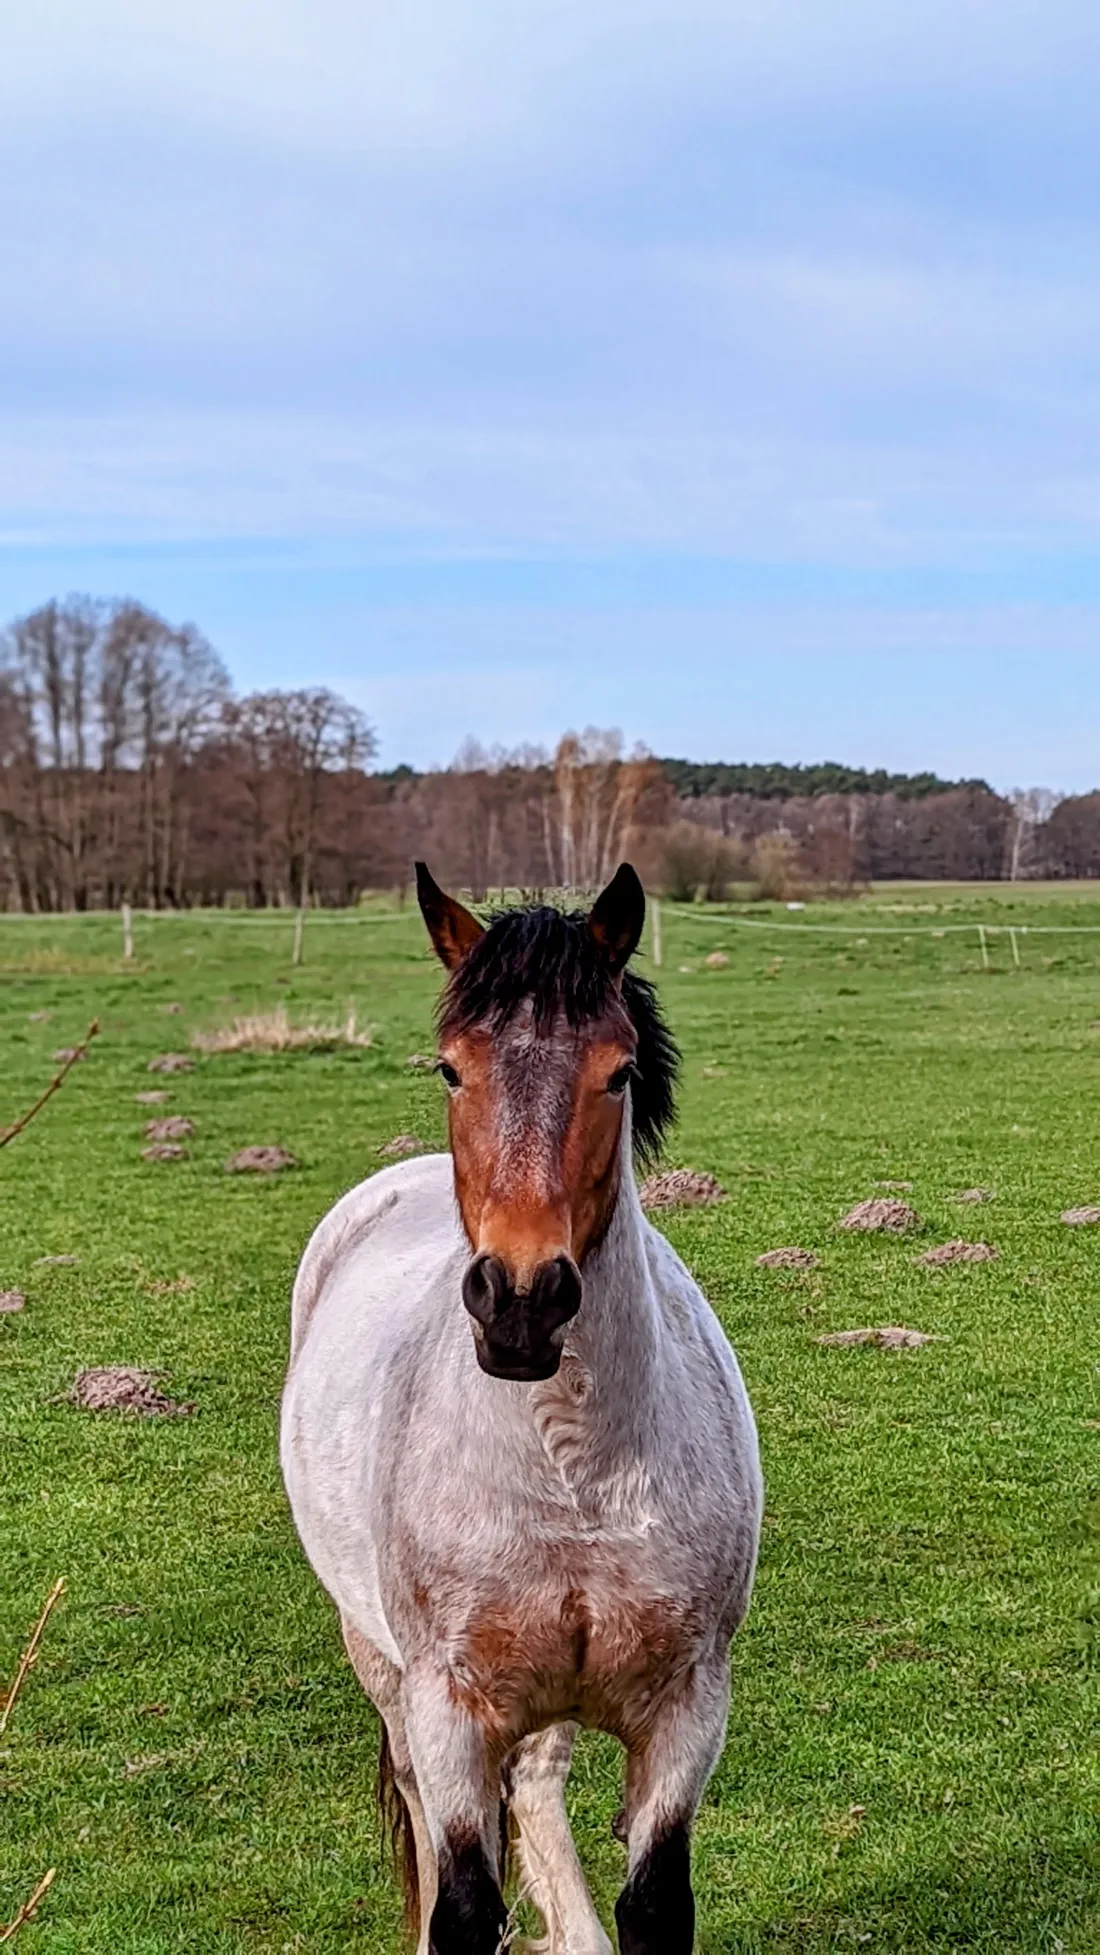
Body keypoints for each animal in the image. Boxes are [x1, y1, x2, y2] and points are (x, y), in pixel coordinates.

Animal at [280, 863, 763, 1953]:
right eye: (450, 1069)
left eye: (618, 1072)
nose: (521, 1300)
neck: (568, 1463)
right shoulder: (449, 1709)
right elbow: (461, 1902)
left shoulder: (685, 1710)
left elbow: (653, 1904)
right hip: (383, 1666)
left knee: (538, 1784)